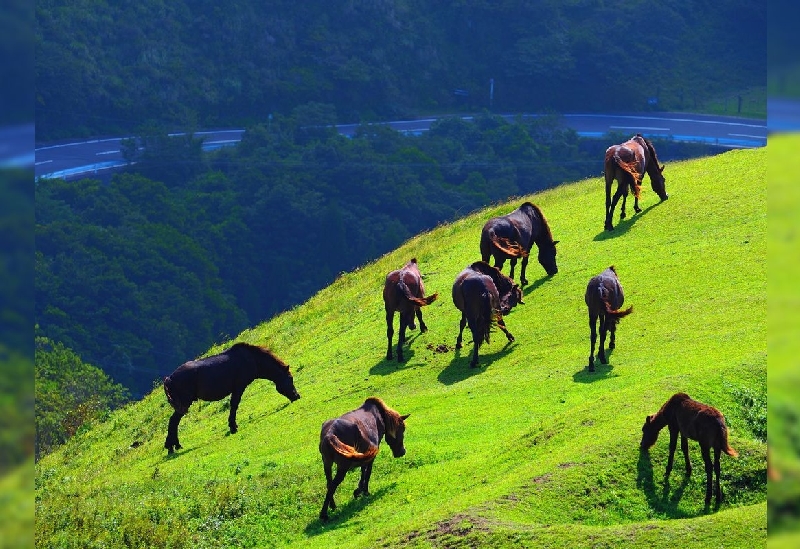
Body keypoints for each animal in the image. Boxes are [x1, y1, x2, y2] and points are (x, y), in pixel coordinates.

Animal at [164, 342, 302, 454]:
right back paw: (172, 446)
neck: (252, 359)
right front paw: (233, 427)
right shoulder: (239, 387)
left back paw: (174, 446)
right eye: (290, 378)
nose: (297, 396)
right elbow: (234, 405)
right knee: (173, 421)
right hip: (184, 403)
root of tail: (169, 379)